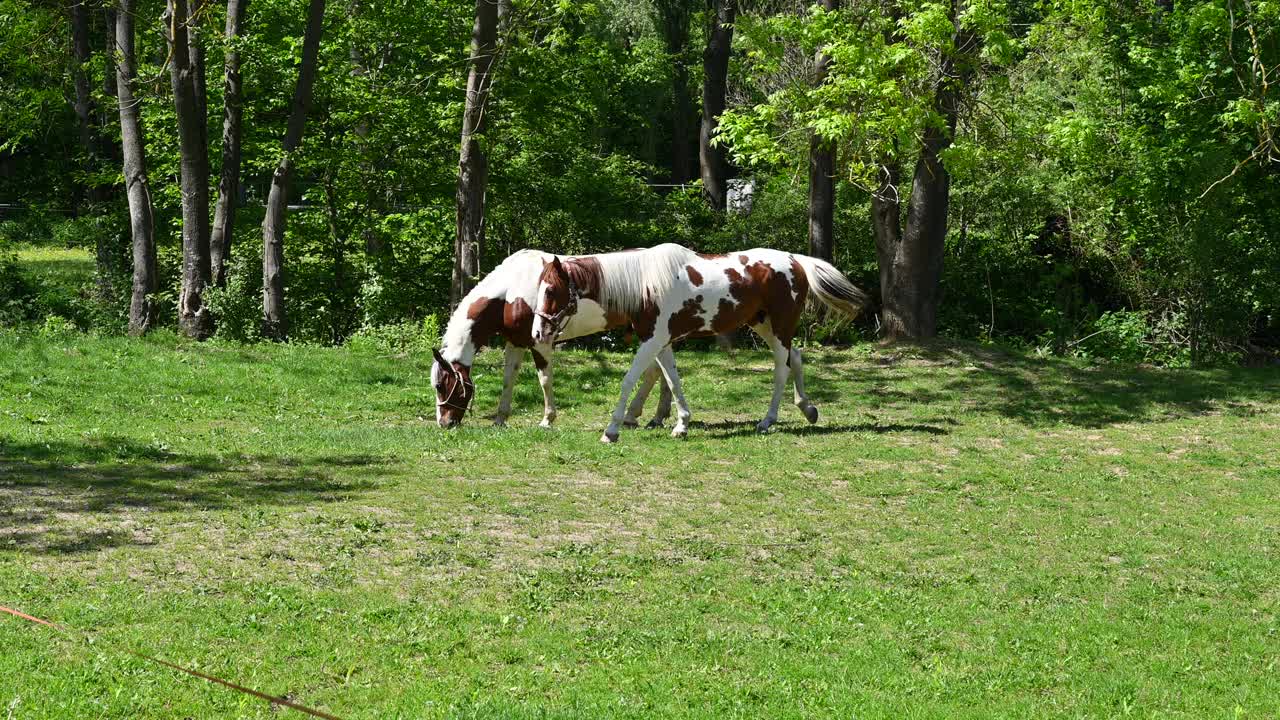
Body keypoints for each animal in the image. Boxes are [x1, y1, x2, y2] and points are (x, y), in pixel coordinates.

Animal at [432, 249, 680, 425]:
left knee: (655, 371)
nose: (445, 423)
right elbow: (508, 379)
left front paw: (547, 419)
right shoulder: (515, 342)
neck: (511, 291)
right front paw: (500, 419)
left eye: (441, 385)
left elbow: (544, 379)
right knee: (661, 371)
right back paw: (655, 417)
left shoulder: (540, 343)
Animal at [527, 243, 870, 440]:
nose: (537, 333)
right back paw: (807, 409)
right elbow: (673, 380)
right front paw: (681, 424)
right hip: (766, 326)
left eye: (551, 290)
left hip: (780, 327)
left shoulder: (652, 341)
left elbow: (629, 380)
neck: (645, 283)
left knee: (781, 368)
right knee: (795, 357)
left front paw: (611, 430)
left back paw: (768, 420)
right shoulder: (663, 342)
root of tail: (795, 260)